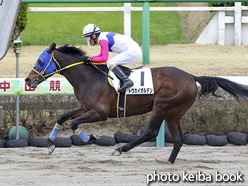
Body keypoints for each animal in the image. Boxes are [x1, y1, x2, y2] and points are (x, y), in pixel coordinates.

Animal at [25, 42, 248, 163]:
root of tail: (191, 76)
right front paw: (50, 145)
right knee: (178, 139)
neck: (89, 77)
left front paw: (92, 138)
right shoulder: (84, 108)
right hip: (175, 112)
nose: (27, 80)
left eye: (39, 61)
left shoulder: (100, 112)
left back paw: (120, 149)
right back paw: (168, 162)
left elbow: (73, 123)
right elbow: (62, 117)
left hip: (162, 106)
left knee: (151, 132)